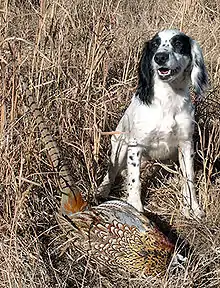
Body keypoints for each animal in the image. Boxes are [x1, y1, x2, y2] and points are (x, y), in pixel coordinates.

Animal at [98, 29, 208, 218]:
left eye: (178, 43)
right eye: (155, 44)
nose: (160, 57)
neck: (168, 99)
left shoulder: (186, 145)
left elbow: (189, 179)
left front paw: (192, 208)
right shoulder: (135, 146)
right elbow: (134, 181)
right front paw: (135, 207)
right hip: (119, 148)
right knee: (111, 173)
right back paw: (102, 190)